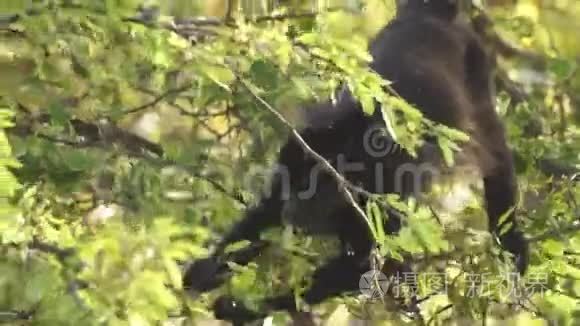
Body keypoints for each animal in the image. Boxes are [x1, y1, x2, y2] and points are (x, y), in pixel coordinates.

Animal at [184, 0, 528, 320]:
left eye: (312, 185)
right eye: (290, 183)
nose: (291, 207)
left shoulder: (384, 187)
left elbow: (362, 266)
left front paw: (241, 308)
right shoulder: (296, 150)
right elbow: (264, 214)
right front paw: (205, 270)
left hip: (477, 65)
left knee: (494, 150)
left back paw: (511, 243)